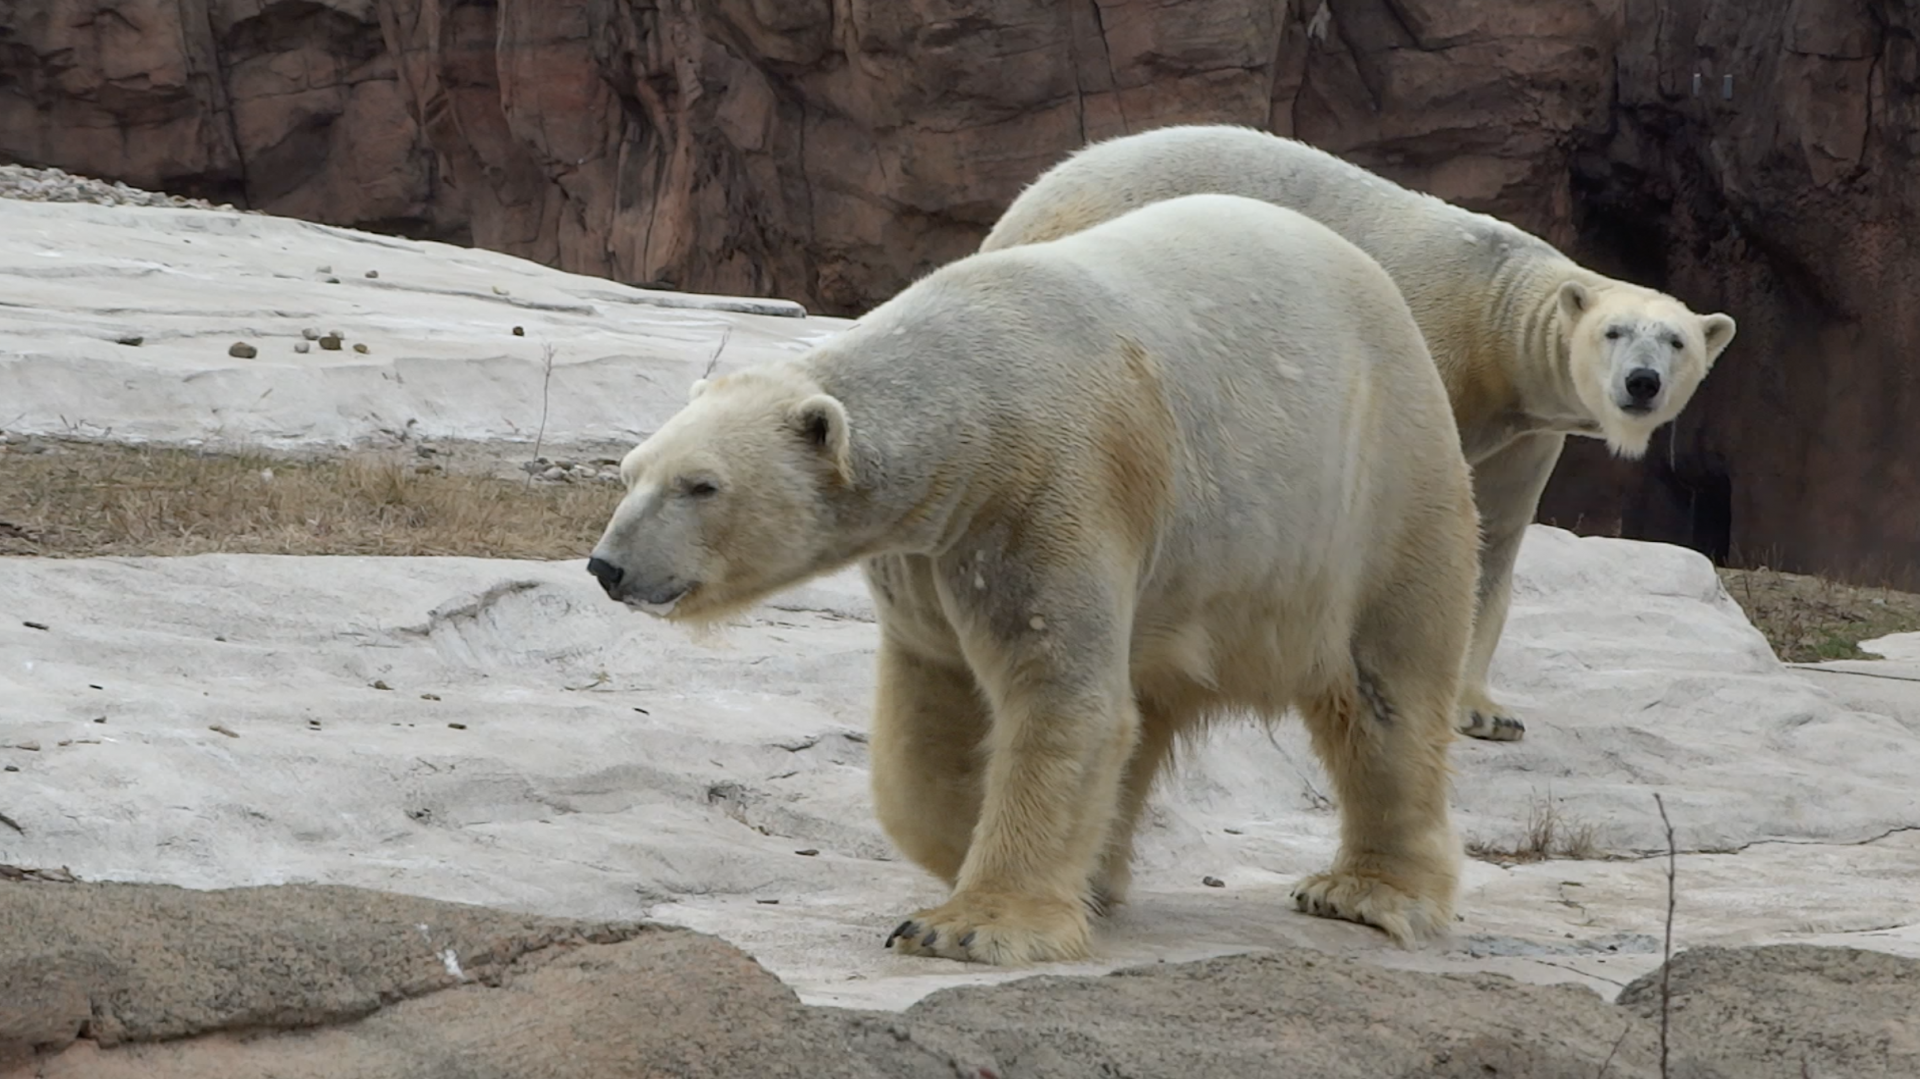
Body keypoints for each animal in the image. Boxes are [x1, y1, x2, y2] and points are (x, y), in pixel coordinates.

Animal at [586, 192, 1481, 965]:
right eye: (631, 470)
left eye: (701, 484)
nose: (607, 565)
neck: (969, 392)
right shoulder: (928, 552)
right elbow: (934, 708)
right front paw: (1009, 861)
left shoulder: (1048, 493)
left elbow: (1059, 692)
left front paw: (967, 924)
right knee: (1153, 697)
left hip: (1382, 492)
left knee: (1384, 695)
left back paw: (1365, 891)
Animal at [979, 124, 1740, 743]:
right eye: (1614, 331)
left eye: (1674, 341)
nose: (1640, 382)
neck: (1496, 315)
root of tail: (1022, 207)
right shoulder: (1434, 355)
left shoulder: (1524, 433)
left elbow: (1494, 540)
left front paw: (1487, 710)